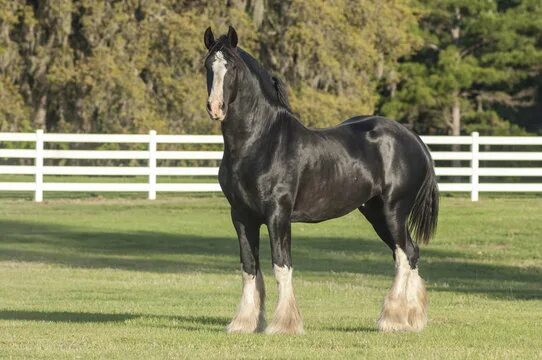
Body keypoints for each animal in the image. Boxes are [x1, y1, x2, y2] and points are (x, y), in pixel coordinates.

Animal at [202, 27, 440, 334]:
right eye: (208, 66)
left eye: (232, 68)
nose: (215, 107)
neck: (261, 142)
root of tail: (414, 140)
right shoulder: (242, 216)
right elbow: (249, 267)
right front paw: (244, 323)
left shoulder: (278, 215)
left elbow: (281, 266)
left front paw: (284, 325)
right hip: (375, 213)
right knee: (411, 252)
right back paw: (412, 319)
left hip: (394, 212)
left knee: (402, 256)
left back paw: (392, 319)